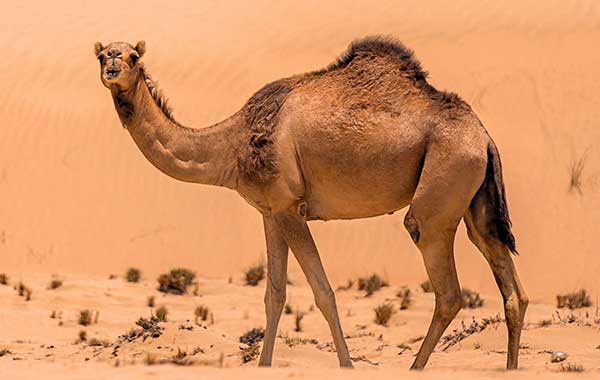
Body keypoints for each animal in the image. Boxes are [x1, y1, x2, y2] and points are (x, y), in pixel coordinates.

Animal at [95, 37, 528, 370]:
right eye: (103, 55)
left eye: (133, 56)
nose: (113, 63)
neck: (230, 145)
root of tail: (483, 136)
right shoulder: (269, 212)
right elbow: (274, 295)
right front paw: (264, 365)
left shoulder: (290, 208)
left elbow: (323, 292)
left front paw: (347, 365)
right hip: (475, 198)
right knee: (508, 282)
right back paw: (509, 366)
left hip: (441, 187)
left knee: (446, 286)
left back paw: (415, 367)